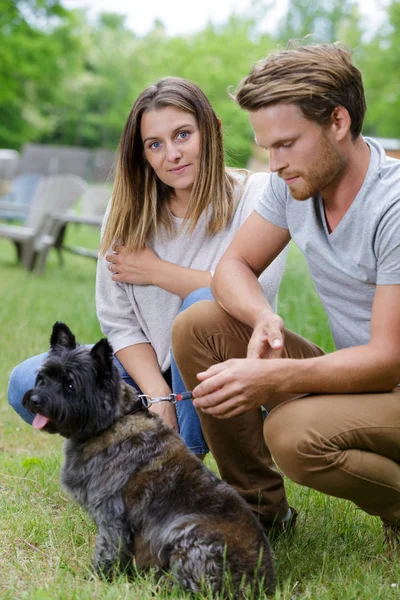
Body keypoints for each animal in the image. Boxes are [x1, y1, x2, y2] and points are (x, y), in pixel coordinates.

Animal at [23, 322, 276, 596]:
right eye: (44, 377)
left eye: (70, 385)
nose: (35, 400)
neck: (112, 421)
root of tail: (262, 583)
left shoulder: (112, 517)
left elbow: (107, 551)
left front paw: (95, 579)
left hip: (187, 534)